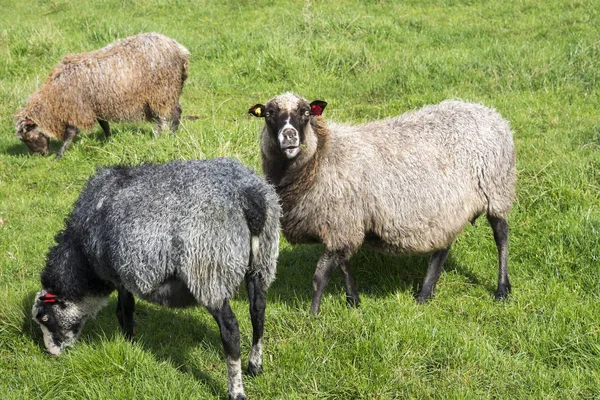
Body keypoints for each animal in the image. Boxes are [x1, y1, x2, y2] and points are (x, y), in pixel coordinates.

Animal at [15, 32, 189, 158]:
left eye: (28, 137)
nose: (42, 154)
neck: (53, 97)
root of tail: (180, 49)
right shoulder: (94, 105)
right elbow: (104, 123)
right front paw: (108, 139)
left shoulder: (79, 108)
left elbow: (71, 133)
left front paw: (60, 154)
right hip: (165, 91)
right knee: (169, 114)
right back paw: (166, 135)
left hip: (162, 90)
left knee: (170, 115)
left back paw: (168, 135)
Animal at [34, 158, 282, 398]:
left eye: (45, 318)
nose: (52, 353)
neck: (81, 257)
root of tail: (249, 197)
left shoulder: (120, 274)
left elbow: (125, 309)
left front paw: (129, 342)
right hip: (262, 261)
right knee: (258, 310)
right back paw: (255, 366)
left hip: (208, 270)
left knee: (230, 330)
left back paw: (236, 390)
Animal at [248, 92, 516, 314]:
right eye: (269, 114)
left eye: (305, 112)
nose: (289, 136)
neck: (321, 155)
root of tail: (490, 112)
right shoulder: (346, 224)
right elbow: (344, 265)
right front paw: (353, 301)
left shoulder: (339, 223)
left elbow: (320, 276)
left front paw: (313, 316)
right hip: (446, 206)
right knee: (443, 245)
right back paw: (425, 294)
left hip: (496, 188)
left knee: (501, 234)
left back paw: (502, 289)